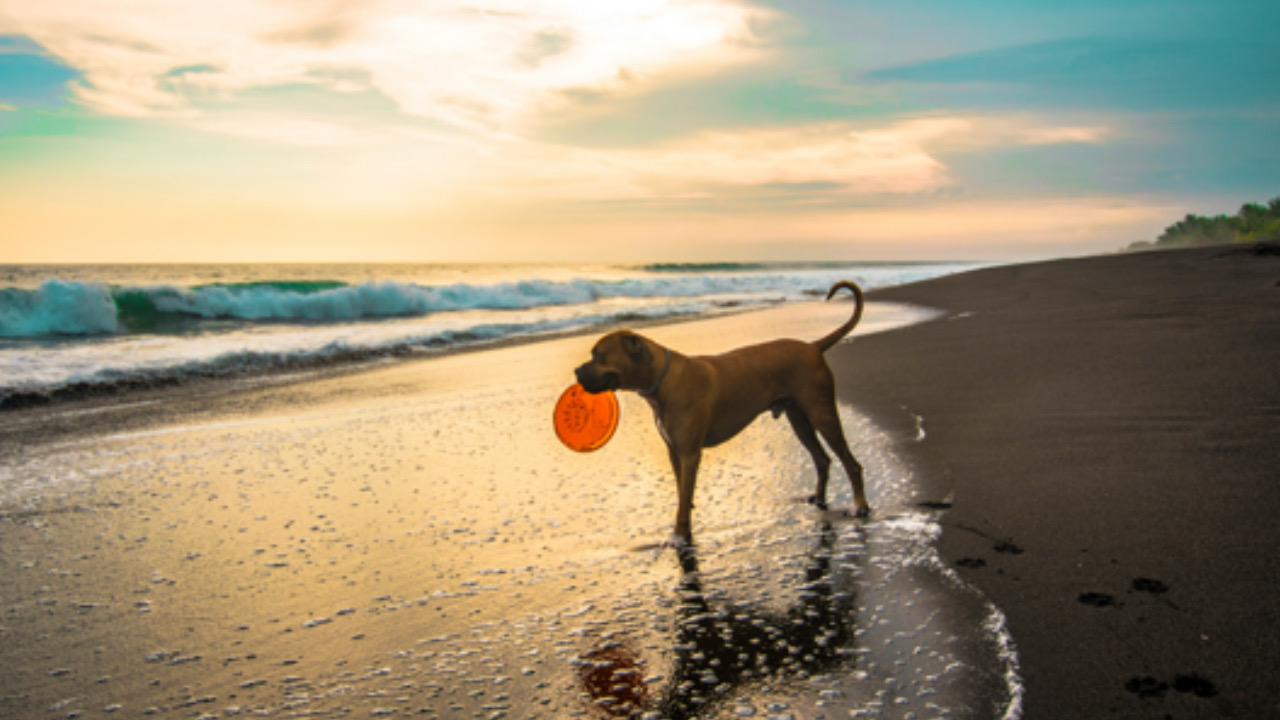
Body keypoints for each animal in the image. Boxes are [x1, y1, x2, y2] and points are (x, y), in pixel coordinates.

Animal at [573, 280, 865, 543]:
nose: (576, 371)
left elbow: (684, 495)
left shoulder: (690, 453)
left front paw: (679, 534)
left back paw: (860, 505)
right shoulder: (674, 451)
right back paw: (820, 496)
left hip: (822, 413)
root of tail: (812, 346)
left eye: (598, 355)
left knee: (851, 463)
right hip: (800, 418)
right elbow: (682, 490)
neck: (661, 381)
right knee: (822, 458)